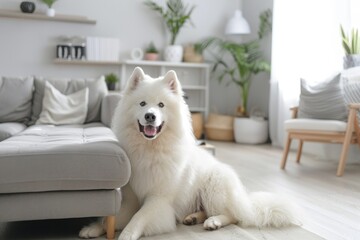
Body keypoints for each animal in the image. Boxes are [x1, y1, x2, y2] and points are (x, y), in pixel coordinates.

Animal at [80, 66, 300, 240]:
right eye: (142, 104)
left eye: (161, 105)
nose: (150, 116)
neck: (151, 148)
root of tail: (245, 199)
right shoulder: (131, 198)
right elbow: (114, 218)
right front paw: (94, 228)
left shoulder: (158, 200)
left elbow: (137, 218)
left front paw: (126, 235)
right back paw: (193, 217)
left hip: (214, 187)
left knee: (233, 216)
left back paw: (213, 221)